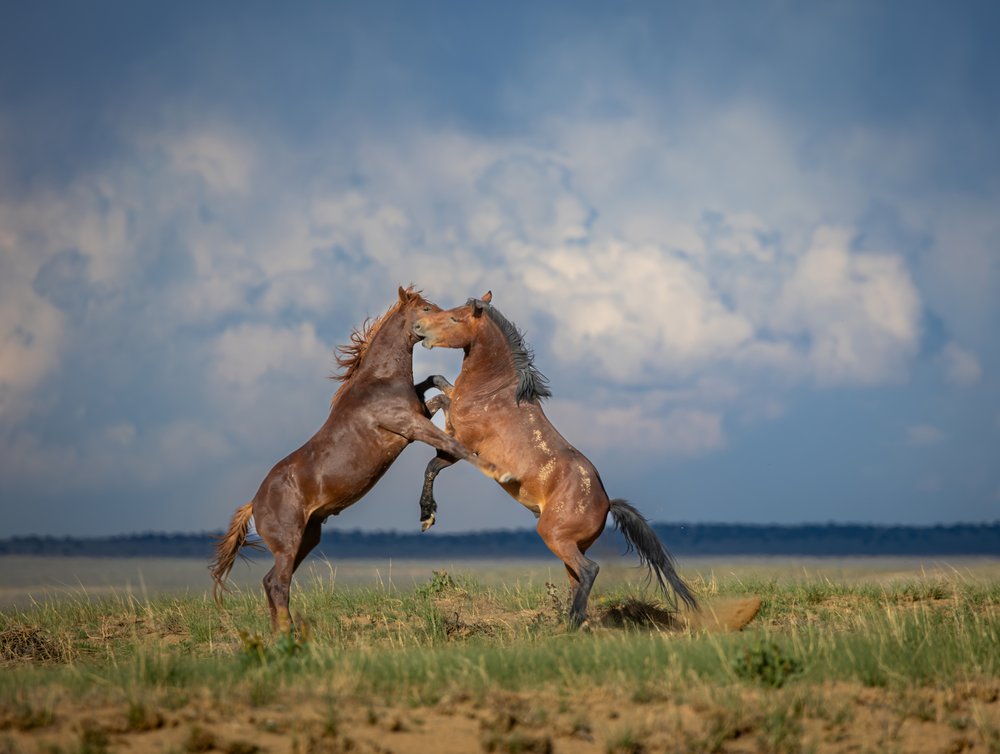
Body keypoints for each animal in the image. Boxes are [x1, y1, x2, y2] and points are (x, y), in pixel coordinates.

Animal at [211, 286, 513, 632]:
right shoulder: (409, 426)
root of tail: (254, 503)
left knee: (270, 581)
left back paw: (280, 633)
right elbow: (453, 442)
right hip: (289, 542)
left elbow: (437, 392)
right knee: (278, 584)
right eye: (426, 308)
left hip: (308, 537)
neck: (379, 382)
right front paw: (498, 470)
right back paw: (288, 634)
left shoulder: (418, 416)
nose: (435, 328)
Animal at [412, 291, 697, 627]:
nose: (418, 327)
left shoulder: (462, 442)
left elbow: (433, 462)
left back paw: (572, 625)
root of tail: (606, 504)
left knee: (589, 571)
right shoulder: (455, 421)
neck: (492, 393)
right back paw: (576, 622)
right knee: (577, 578)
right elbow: (439, 385)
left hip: (554, 537)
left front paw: (427, 515)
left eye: (455, 318)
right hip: (570, 545)